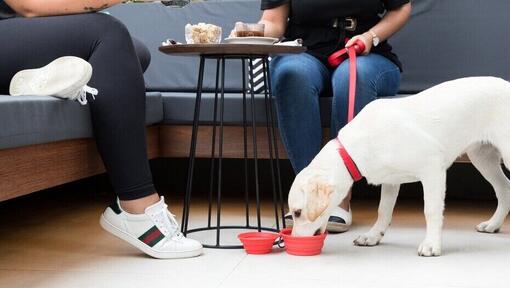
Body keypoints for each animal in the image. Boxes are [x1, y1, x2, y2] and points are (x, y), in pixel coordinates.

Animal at [288, 76, 510, 256]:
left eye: (298, 213)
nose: (296, 240)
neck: (354, 150)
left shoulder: (433, 169)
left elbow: (431, 210)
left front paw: (432, 244)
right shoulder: (390, 181)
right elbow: (383, 210)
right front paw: (373, 235)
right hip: (482, 158)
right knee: (504, 188)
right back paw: (493, 224)